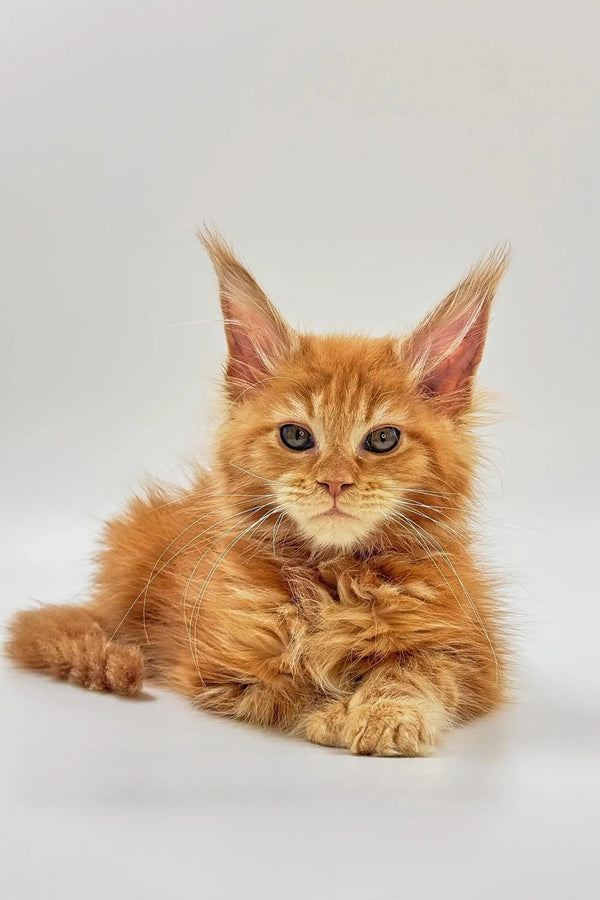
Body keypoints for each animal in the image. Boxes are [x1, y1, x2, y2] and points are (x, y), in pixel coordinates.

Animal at [5, 236, 510, 756]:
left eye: (383, 439)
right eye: (296, 436)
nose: (334, 482)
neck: (332, 578)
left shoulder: (474, 656)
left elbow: (413, 669)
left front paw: (385, 713)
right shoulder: (219, 669)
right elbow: (292, 686)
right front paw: (334, 713)